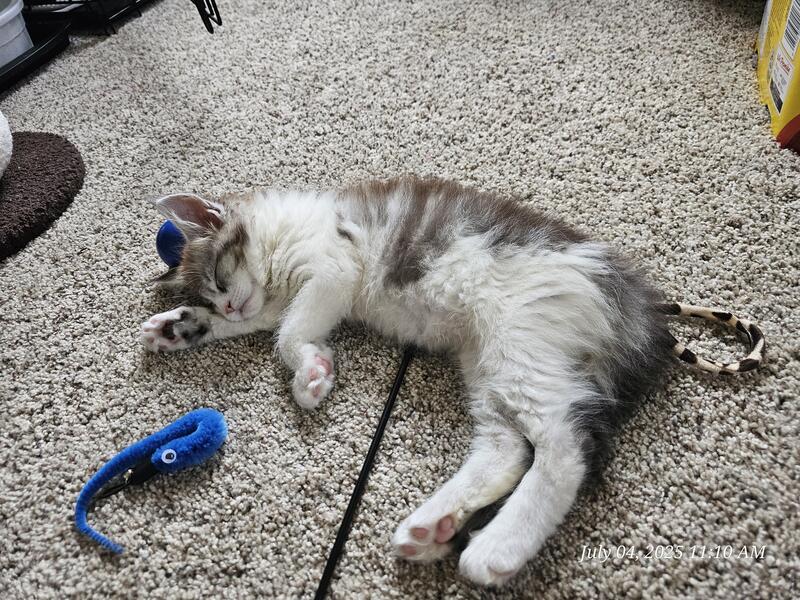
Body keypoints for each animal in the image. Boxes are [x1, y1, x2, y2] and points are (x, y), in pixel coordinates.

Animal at [140, 175, 763, 586]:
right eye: (207, 296)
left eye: (219, 278)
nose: (225, 306)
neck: (283, 242)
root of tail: (642, 308)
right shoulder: (295, 294)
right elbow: (271, 325)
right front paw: (180, 328)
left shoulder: (332, 269)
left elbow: (288, 334)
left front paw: (311, 377)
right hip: (487, 365)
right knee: (507, 450)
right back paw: (434, 525)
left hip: (518, 346)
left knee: (564, 450)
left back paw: (497, 549)